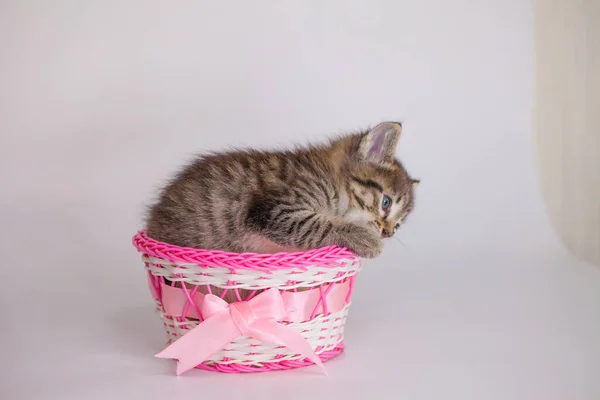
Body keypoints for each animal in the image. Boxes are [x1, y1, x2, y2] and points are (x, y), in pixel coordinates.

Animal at [146, 122, 418, 260]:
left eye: (399, 225)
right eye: (386, 203)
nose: (387, 233)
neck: (329, 178)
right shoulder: (273, 208)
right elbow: (314, 224)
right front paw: (363, 237)